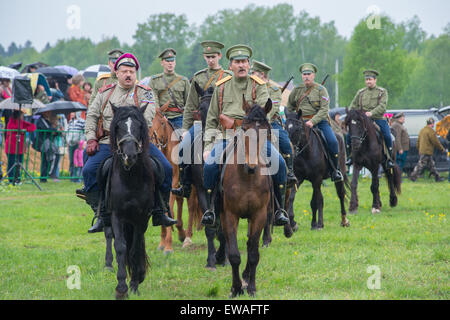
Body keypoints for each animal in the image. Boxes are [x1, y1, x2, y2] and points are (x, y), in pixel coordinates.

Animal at [106, 104, 156, 298]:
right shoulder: (117, 216)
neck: (131, 178)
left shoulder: (142, 218)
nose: (130, 156)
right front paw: (121, 288)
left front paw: (134, 285)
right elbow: (120, 247)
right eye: (118, 127)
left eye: (139, 126)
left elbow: (135, 250)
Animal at [221, 98, 272, 298]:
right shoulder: (229, 215)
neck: (248, 178)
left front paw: (251, 287)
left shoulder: (259, 215)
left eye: (266, 130)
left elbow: (253, 253)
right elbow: (234, 254)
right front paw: (236, 288)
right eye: (244, 128)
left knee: (251, 243)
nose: (252, 166)